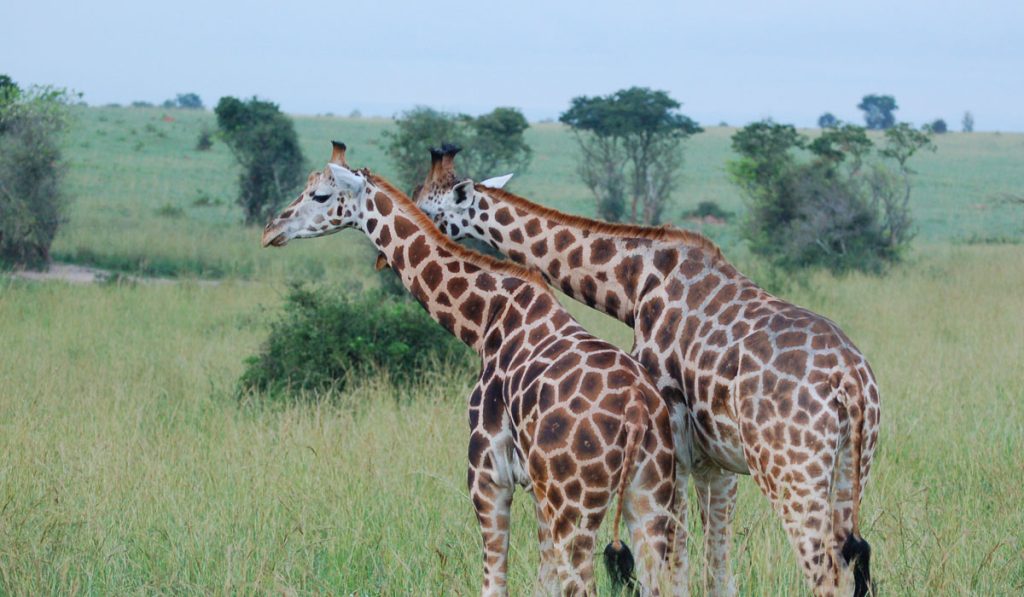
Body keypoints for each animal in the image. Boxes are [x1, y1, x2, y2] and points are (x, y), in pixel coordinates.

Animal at [261, 142, 686, 596]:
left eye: (320, 194)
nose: (270, 229)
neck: (484, 320)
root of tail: (638, 413)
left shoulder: (487, 477)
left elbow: (494, 581)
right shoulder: (538, 490)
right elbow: (542, 582)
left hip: (578, 505)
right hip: (650, 498)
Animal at [412, 146, 880, 597]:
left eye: (428, 208)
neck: (632, 283)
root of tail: (849, 381)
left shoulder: (675, 443)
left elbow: (675, 564)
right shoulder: (715, 461)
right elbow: (716, 572)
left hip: (793, 473)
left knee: (824, 574)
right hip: (850, 469)